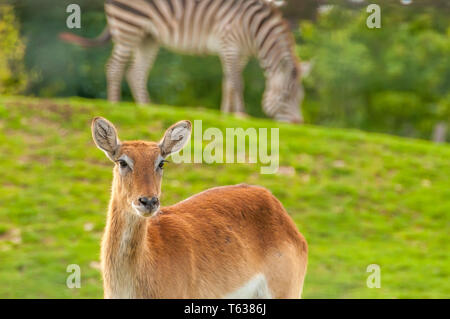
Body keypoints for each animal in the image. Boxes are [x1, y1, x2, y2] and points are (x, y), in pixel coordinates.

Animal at [59, 0, 306, 122]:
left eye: (299, 98)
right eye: (285, 97)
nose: (298, 124)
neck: (255, 30)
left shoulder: (239, 52)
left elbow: (228, 83)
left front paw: (226, 114)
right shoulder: (230, 44)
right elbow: (237, 82)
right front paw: (241, 114)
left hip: (148, 37)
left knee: (136, 72)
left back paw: (147, 106)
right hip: (129, 27)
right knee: (114, 67)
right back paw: (115, 104)